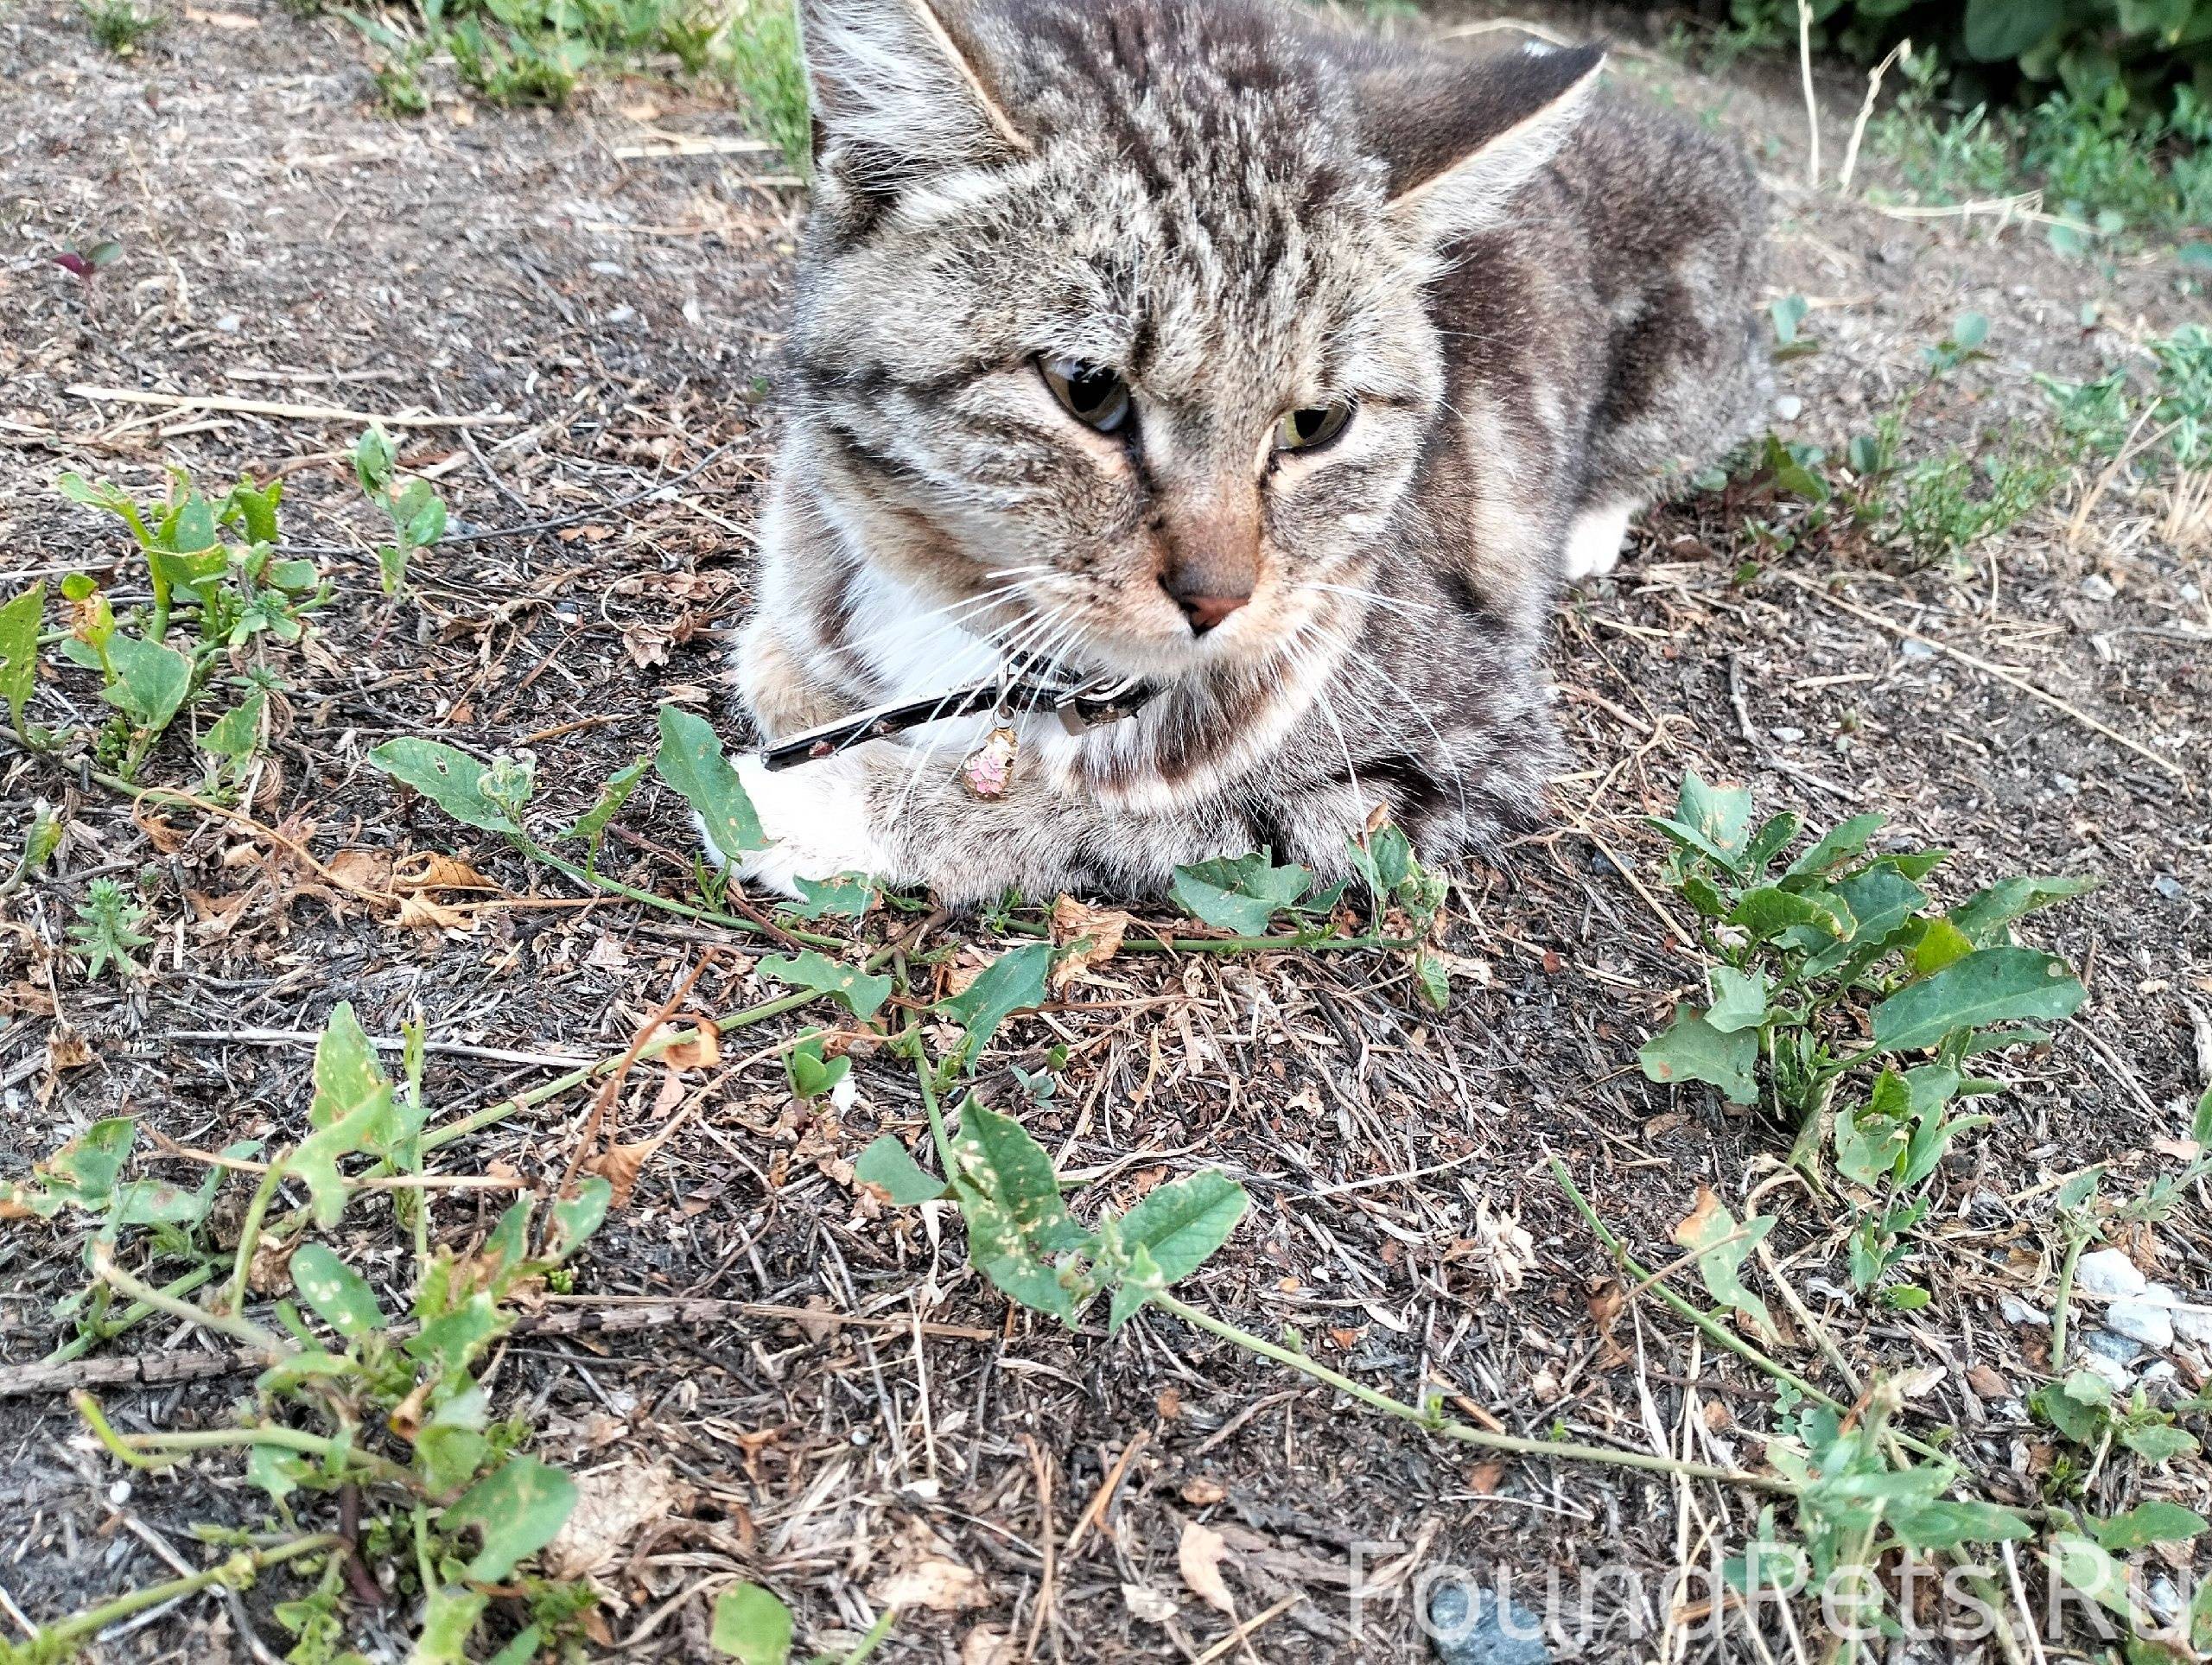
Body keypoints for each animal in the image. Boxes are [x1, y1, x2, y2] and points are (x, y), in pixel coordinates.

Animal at [716, 0, 1770, 897]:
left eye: (1317, 423)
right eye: (1086, 388)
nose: (1216, 601)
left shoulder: (1439, 767)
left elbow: (1110, 814)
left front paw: (817, 807)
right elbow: (775, 659)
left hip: (1693, 367)